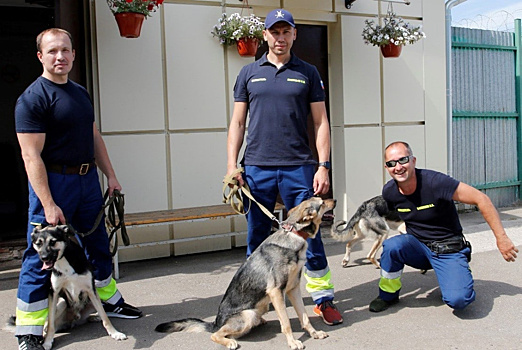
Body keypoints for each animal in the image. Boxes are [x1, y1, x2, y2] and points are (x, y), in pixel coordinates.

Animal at [154, 198, 336, 348]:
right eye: (322, 203)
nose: (334, 200)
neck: (294, 234)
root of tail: (215, 322)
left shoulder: (293, 289)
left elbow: (304, 317)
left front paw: (314, 333)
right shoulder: (276, 292)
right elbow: (286, 323)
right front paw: (292, 342)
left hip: (261, 307)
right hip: (248, 315)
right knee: (215, 334)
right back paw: (229, 342)